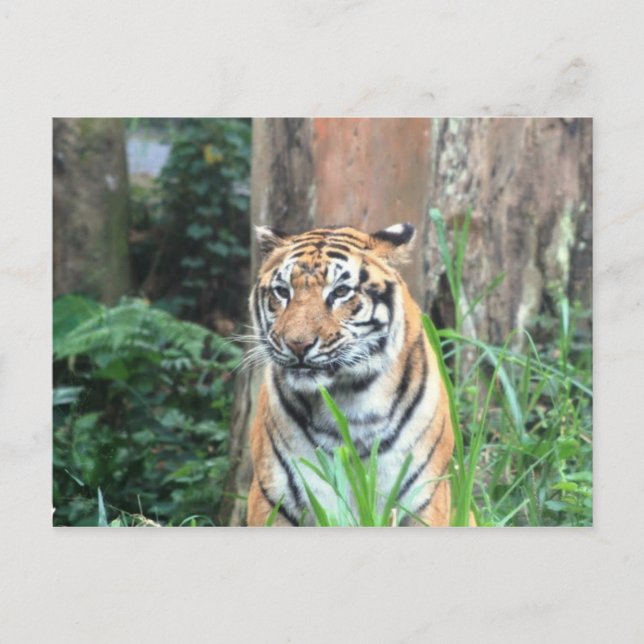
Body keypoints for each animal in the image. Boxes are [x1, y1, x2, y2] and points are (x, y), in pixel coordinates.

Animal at [246, 223, 454, 526]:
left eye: (341, 291)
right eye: (283, 292)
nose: (297, 344)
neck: (349, 398)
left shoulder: (423, 500)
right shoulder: (274, 498)